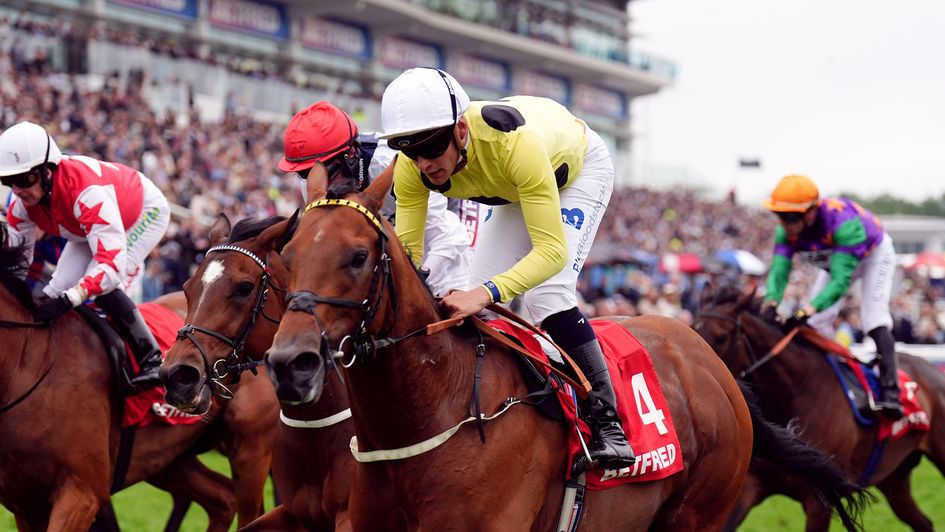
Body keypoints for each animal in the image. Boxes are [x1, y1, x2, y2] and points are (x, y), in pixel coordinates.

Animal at [0, 222, 272, 528]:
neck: (28, 363)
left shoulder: (82, 491)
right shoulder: (24, 502)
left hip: (251, 447)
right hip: (169, 458)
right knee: (222, 499)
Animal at [262, 166, 868, 532]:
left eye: (358, 256)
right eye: (286, 255)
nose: (292, 364)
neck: (435, 405)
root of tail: (714, 367)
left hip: (699, 513)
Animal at [692, 286, 944, 532]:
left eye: (721, 337)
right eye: (693, 329)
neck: (796, 393)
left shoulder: (819, 502)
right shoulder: (750, 488)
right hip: (894, 478)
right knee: (923, 523)